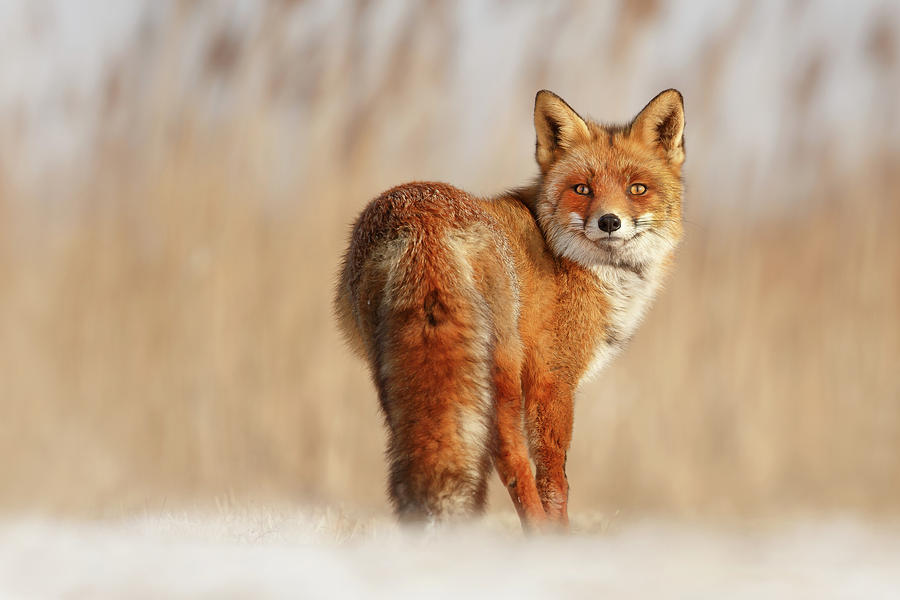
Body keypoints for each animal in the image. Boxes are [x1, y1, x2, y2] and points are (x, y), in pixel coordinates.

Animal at [334, 89, 684, 528]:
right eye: (582, 189)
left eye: (637, 188)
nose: (609, 222)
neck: (569, 261)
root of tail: (421, 217)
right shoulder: (552, 379)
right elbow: (554, 480)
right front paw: (560, 534)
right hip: (501, 371)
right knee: (511, 461)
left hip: (393, 371)